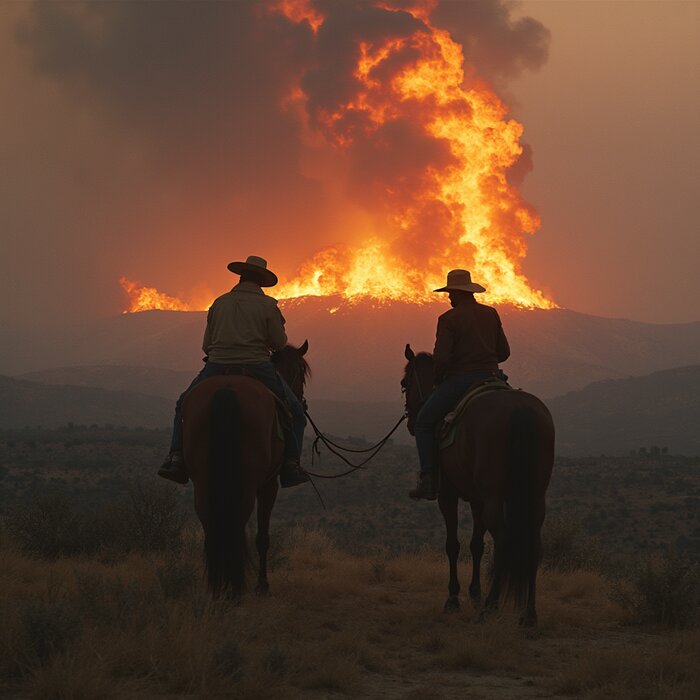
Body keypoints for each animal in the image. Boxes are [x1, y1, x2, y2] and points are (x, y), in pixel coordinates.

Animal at [183, 340, 308, 596]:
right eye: (302, 372)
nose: (301, 401)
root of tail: (227, 390)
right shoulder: (269, 484)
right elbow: (263, 537)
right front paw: (263, 585)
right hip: (247, 485)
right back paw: (234, 588)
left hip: (203, 483)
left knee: (212, 530)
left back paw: (217, 587)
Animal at [402, 344, 556, 624]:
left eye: (404, 383)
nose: (410, 422)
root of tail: (519, 409)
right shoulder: (477, 499)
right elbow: (477, 545)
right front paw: (474, 593)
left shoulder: (449, 494)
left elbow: (453, 545)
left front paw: (453, 598)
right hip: (535, 496)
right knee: (534, 543)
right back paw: (528, 613)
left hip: (494, 495)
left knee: (503, 540)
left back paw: (491, 605)